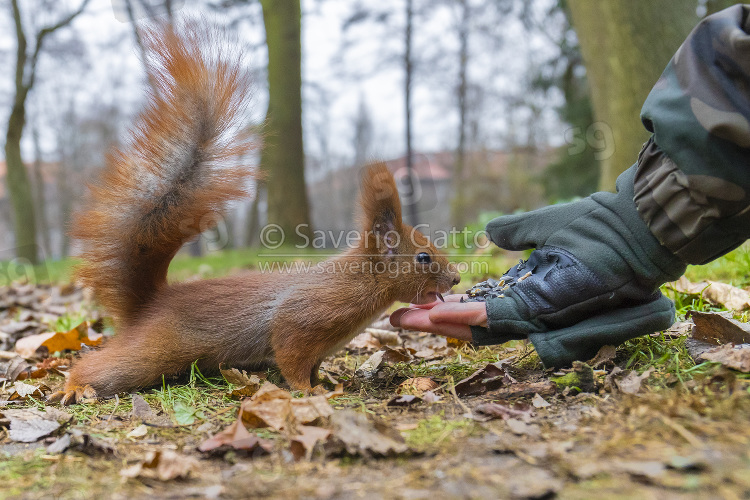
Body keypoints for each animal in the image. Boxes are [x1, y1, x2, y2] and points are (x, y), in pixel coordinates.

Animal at [50, 23, 462, 404]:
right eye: (423, 257)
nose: (456, 279)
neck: (361, 281)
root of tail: (151, 301)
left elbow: (314, 365)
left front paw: (327, 381)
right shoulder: (302, 320)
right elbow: (292, 358)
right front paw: (309, 391)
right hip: (152, 352)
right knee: (104, 366)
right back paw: (74, 386)